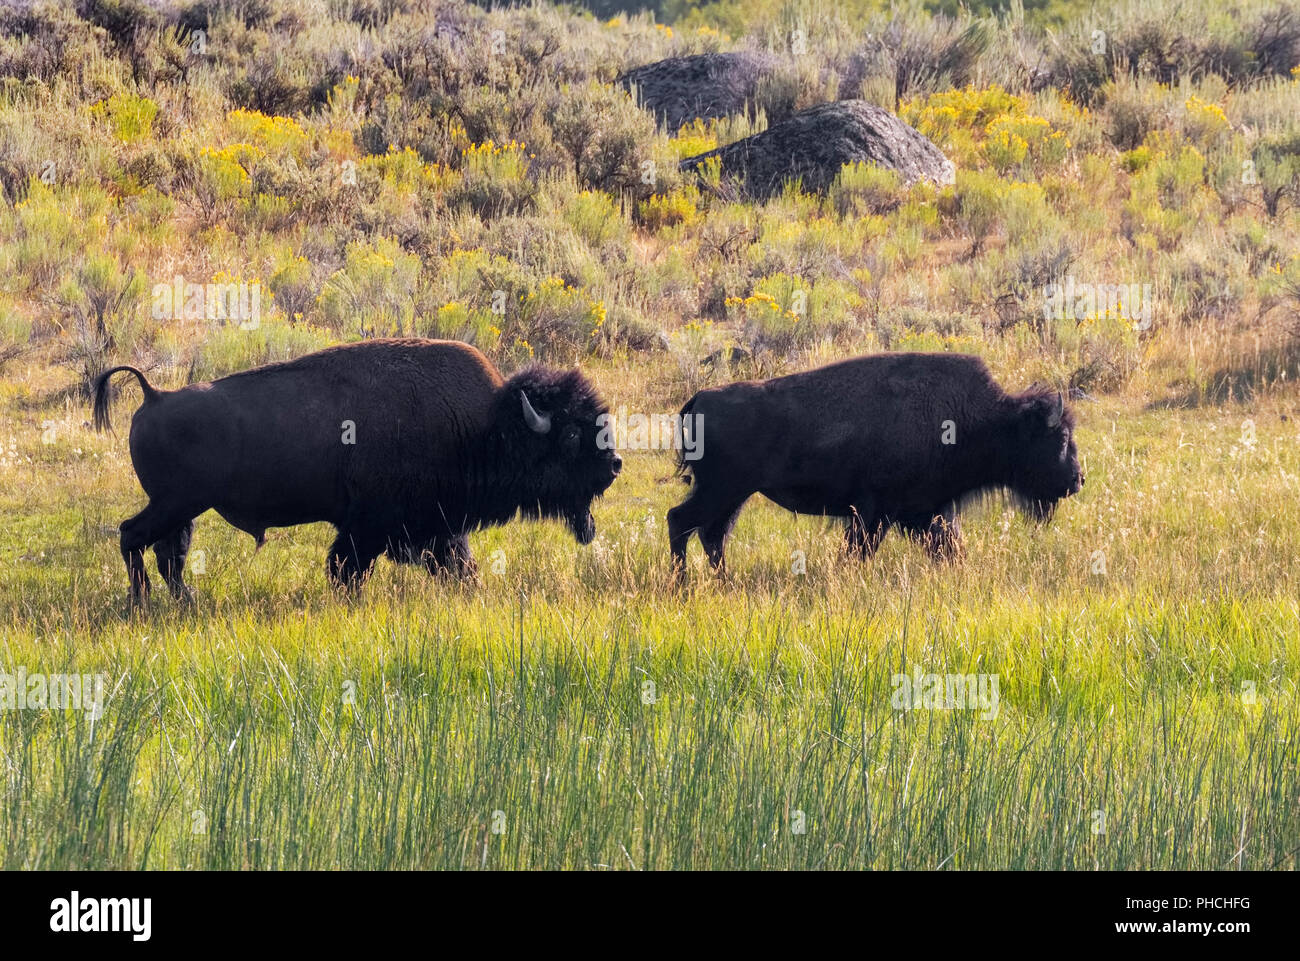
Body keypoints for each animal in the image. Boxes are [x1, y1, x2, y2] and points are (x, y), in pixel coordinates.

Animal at [90, 338, 618, 605]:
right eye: (571, 435)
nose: (613, 466)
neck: (485, 425)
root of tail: (153, 395)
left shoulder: (436, 529)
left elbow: (459, 566)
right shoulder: (369, 528)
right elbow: (347, 569)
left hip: (184, 509)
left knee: (168, 553)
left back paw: (185, 601)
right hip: (175, 504)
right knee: (133, 536)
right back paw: (144, 602)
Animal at [665, 353, 1081, 579]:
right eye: (1059, 439)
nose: (1078, 478)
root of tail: (700, 398)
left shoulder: (927, 514)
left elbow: (950, 547)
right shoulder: (876, 513)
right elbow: (860, 550)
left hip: (734, 495)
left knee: (712, 535)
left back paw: (721, 581)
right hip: (722, 491)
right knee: (681, 521)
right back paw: (682, 584)